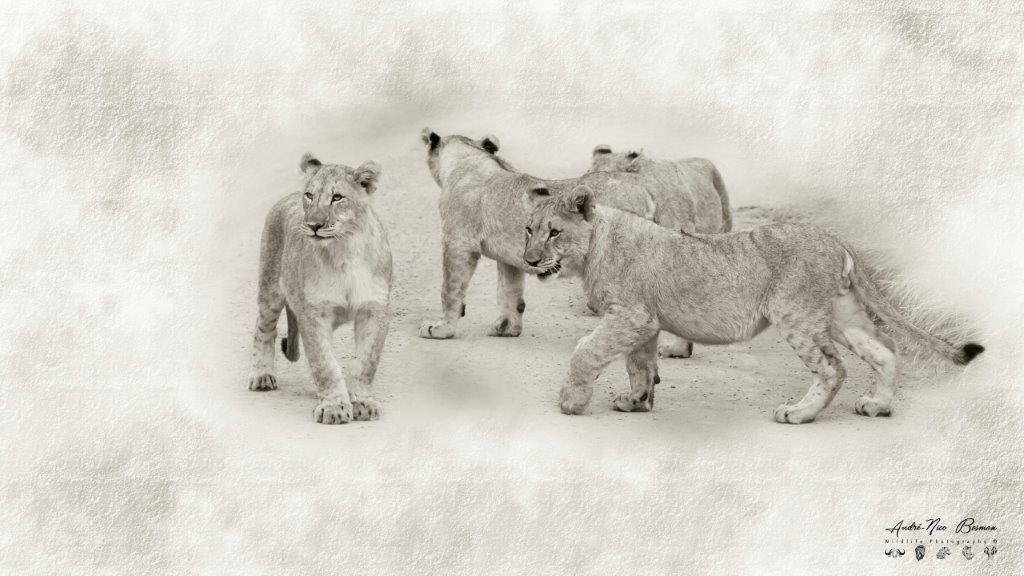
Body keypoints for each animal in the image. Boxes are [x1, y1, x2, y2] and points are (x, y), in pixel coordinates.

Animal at [247, 153, 392, 424]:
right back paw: (261, 376)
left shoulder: (374, 310)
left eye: (337, 198)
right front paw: (334, 407)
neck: (345, 251)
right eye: (310, 195)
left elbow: (365, 362)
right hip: (269, 289)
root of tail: (286, 197)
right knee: (264, 330)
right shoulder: (313, 313)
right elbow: (324, 363)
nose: (314, 224)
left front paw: (361, 402)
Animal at [417, 130, 731, 352]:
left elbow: (450, 290)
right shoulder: (512, 257)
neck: (468, 162)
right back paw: (678, 350)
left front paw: (440, 329)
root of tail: (650, 187)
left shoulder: (458, 242)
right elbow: (509, 293)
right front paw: (506, 328)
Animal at [523, 185, 984, 423]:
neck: (594, 245)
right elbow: (640, 366)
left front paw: (570, 402)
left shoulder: (630, 315)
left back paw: (798, 413)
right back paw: (877, 406)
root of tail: (834, 239)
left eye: (554, 232)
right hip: (841, 314)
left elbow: (586, 351)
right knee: (885, 350)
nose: (528, 260)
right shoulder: (645, 321)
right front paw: (635, 402)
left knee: (832, 367)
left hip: (795, 315)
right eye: (528, 229)